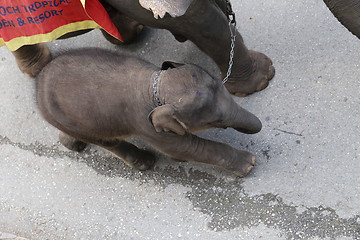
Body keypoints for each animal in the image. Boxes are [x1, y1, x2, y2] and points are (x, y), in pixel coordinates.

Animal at [35, 48, 262, 176]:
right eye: (217, 121)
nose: (260, 127)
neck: (156, 84)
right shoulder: (146, 126)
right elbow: (184, 148)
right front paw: (249, 165)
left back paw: (72, 145)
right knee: (108, 142)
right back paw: (145, 162)